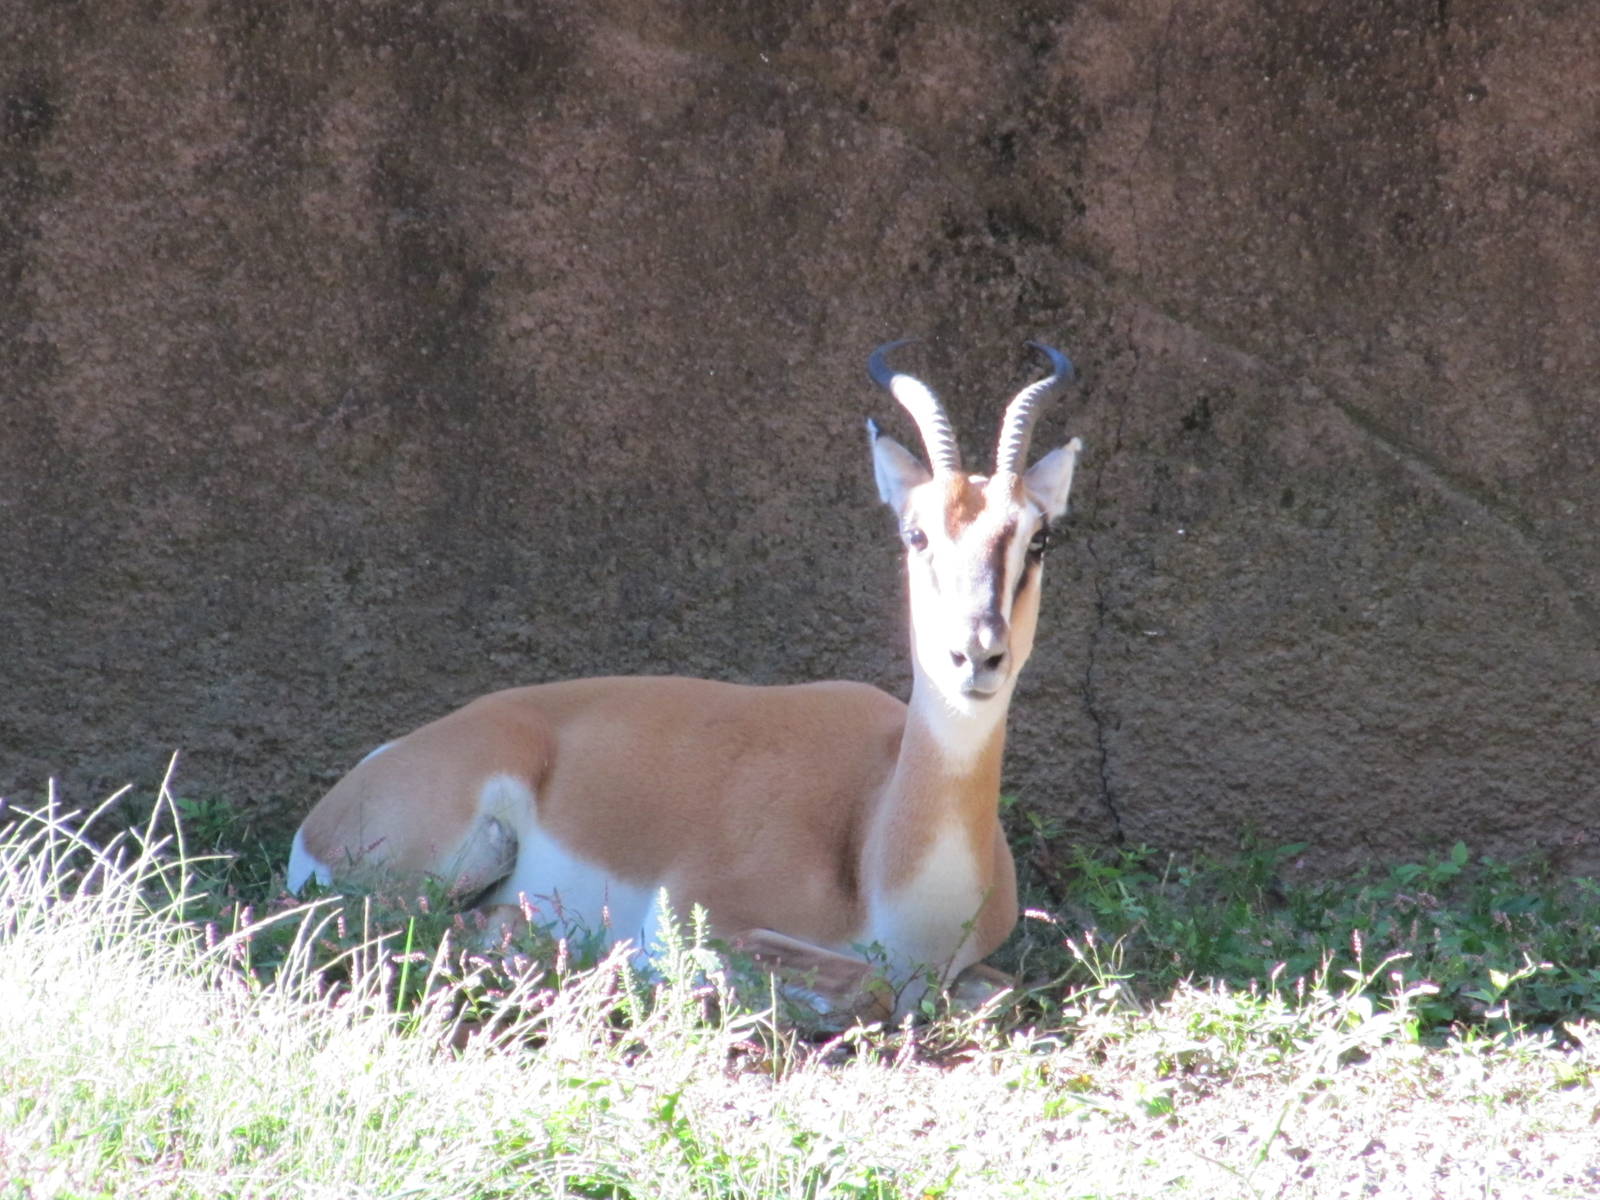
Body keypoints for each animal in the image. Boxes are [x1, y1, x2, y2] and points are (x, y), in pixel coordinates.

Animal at [287, 340, 1082, 1020]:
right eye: (916, 533)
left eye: (1038, 537)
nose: (976, 654)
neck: (878, 842)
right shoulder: (694, 917)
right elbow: (868, 985)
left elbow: (994, 988)